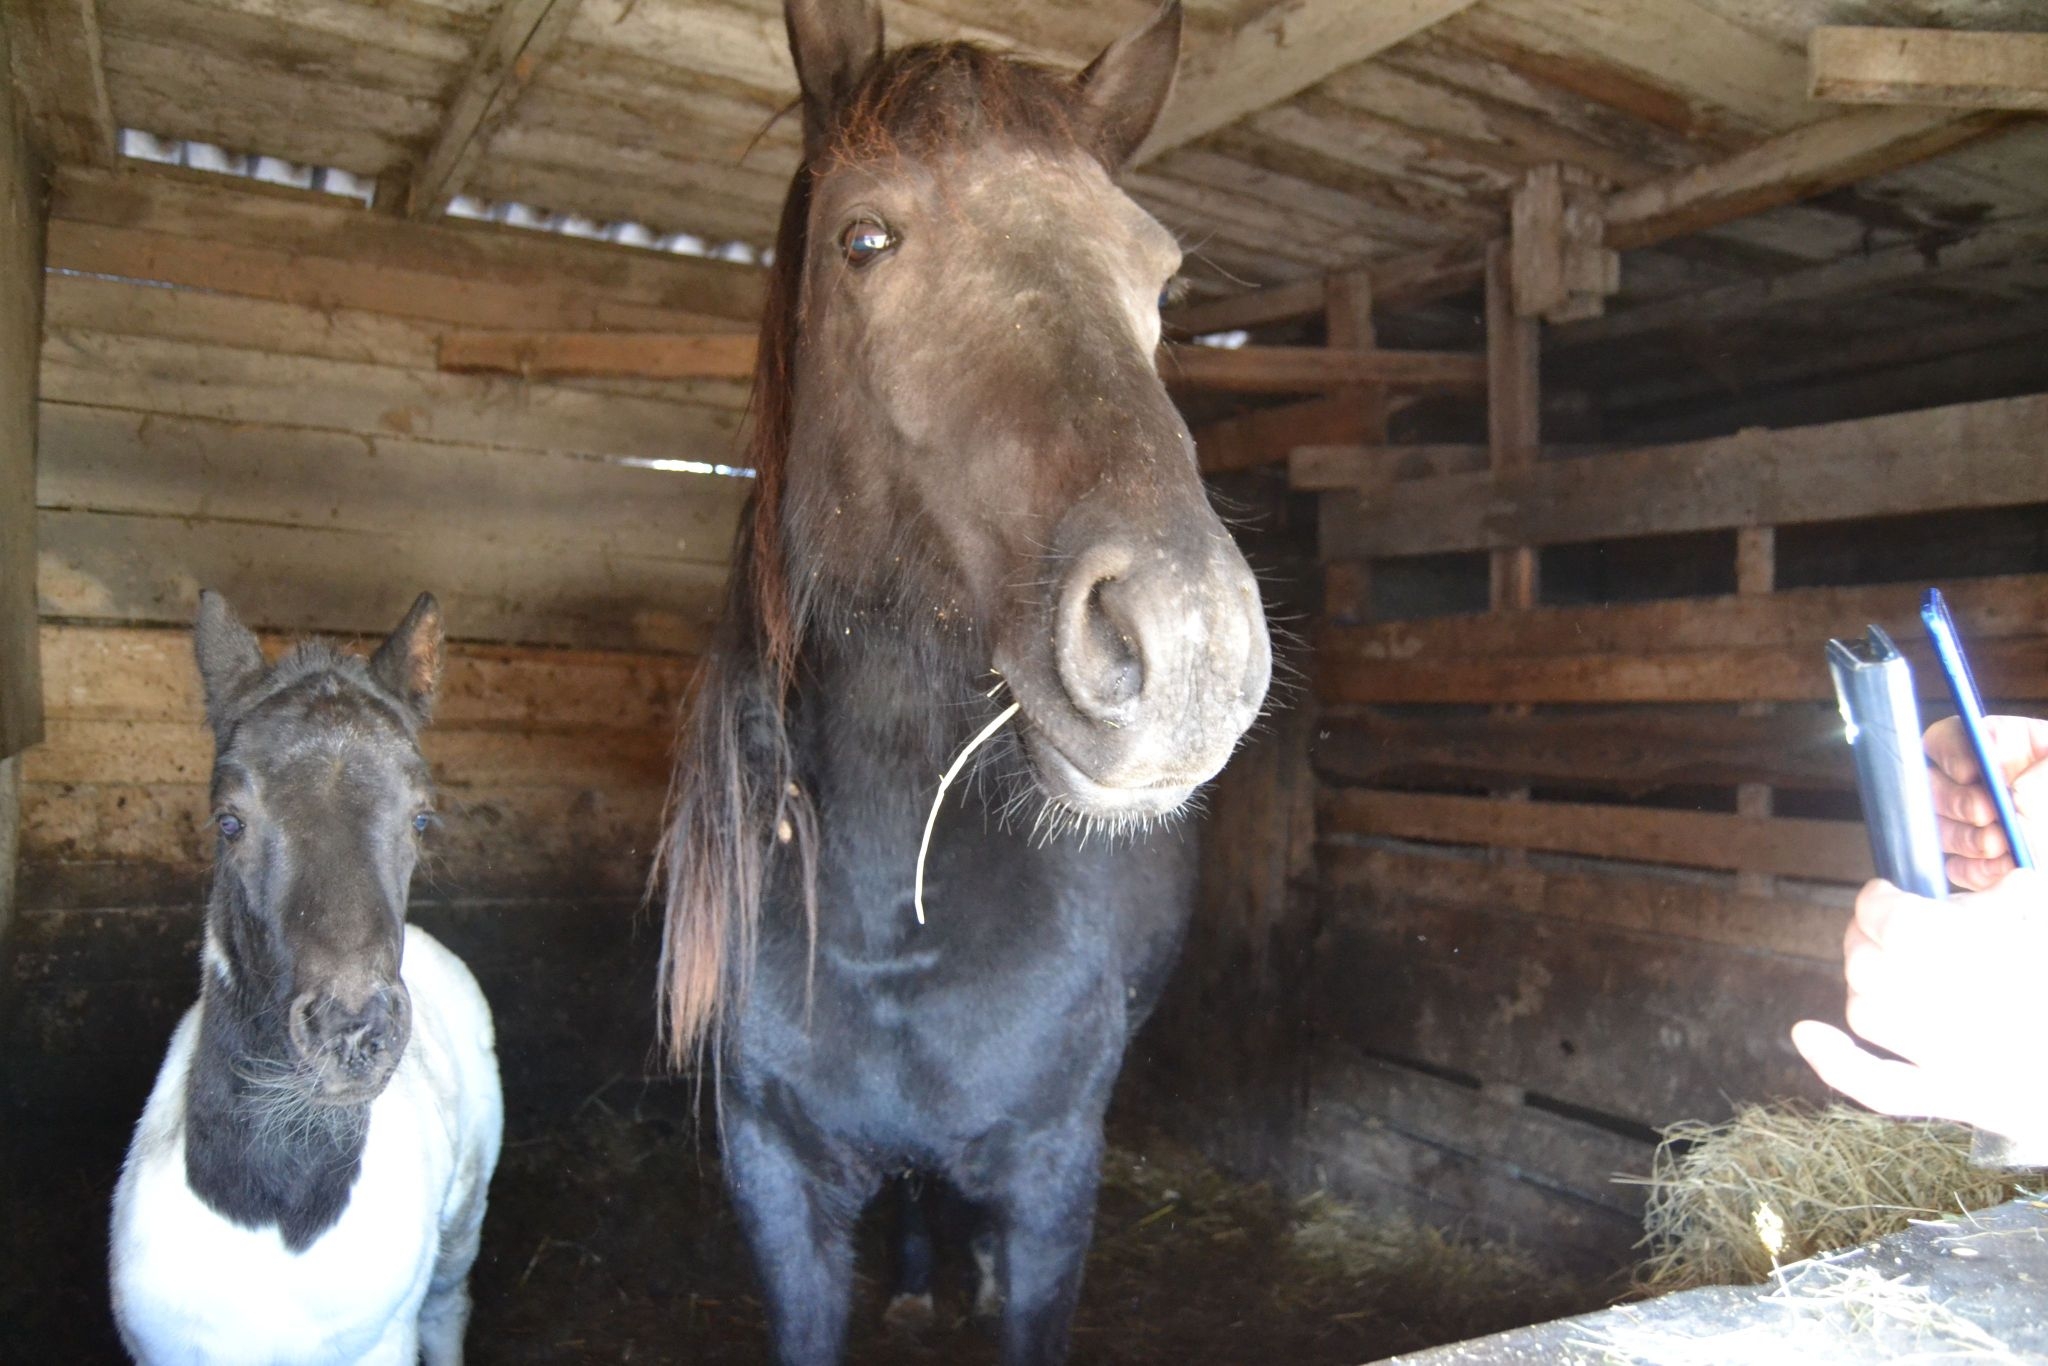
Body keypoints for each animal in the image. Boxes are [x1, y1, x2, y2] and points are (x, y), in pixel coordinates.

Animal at [113, 593, 503, 1366]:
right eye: (229, 820)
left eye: (421, 819)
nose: (351, 1033)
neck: (274, 1226)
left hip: (465, 1212)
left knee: (449, 1303)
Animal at [659, 5, 1261, 1359]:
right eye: (863, 238)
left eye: (1160, 279)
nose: (1189, 639)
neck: (894, 921)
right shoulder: (773, 1179)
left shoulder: (1052, 1180)